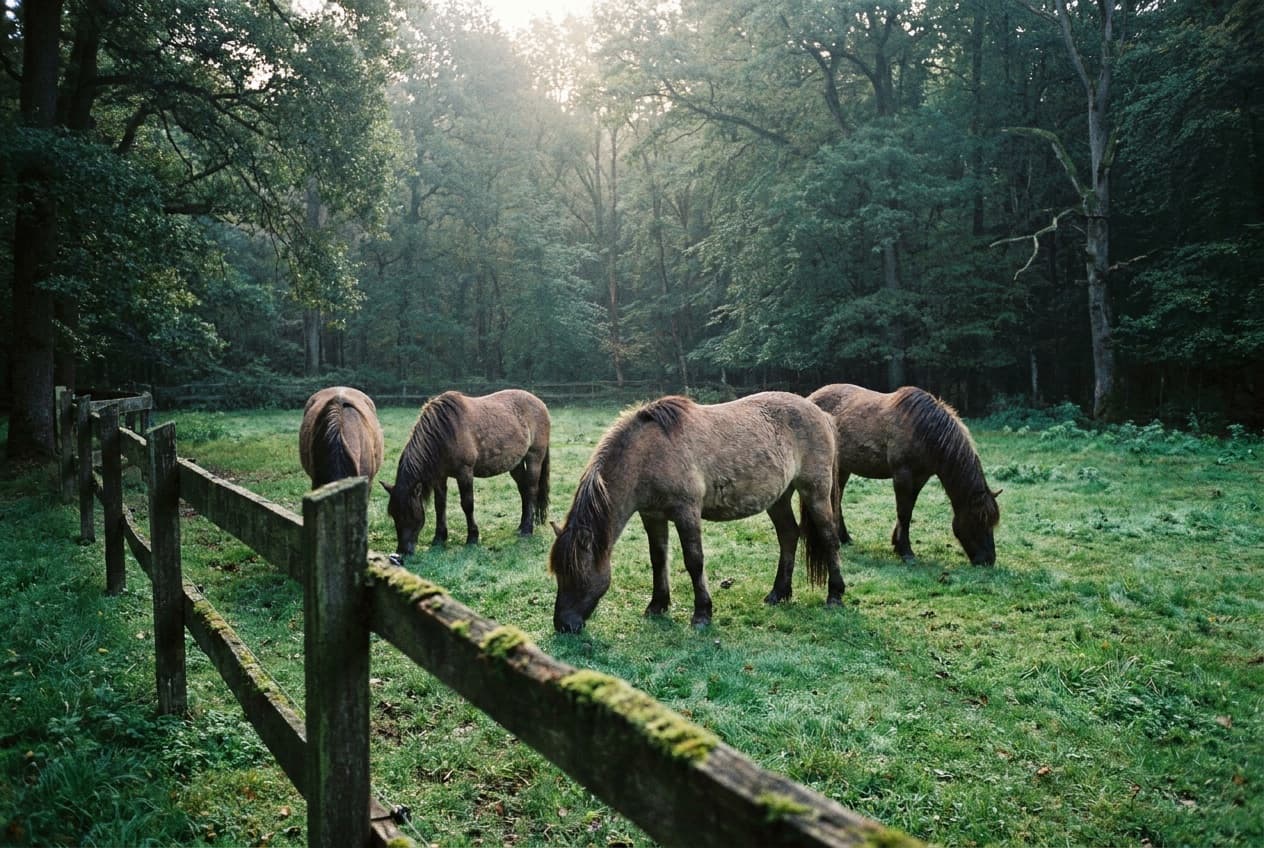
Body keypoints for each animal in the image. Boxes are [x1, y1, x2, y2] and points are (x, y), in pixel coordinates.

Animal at [382, 389, 550, 557]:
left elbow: (467, 504)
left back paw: (527, 529)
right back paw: (521, 526)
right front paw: (439, 538)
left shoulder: (465, 473)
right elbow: (439, 505)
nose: (402, 552)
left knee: (531, 489)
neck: (444, 432)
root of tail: (539, 402)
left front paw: (472, 538)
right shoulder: (440, 477)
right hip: (515, 464)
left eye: (409, 514)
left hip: (534, 457)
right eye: (394, 515)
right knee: (523, 490)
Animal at [549, 392, 845, 634]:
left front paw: (702, 613)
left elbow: (694, 561)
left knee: (829, 538)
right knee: (788, 536)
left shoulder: (686, 512)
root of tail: (822, 414)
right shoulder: (652, 516)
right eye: (558, 573)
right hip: (779, 498)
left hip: (815, 492)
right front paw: (657, 605)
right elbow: (658, 559)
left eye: (577, 574)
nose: (563, 625)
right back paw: (778, 593)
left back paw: (835, 595)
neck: (648, 454)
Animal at [807, 383, 1001, 565]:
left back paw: (844, 538)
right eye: (978, 520)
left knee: (837, 499)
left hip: (843, 468)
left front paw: (897, 543)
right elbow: (904, 512)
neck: (924, 431)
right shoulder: (903, 475)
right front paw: (906, 552)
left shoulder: (920, 478)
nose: (988, 560)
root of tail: (810, 398)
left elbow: (909, 509)